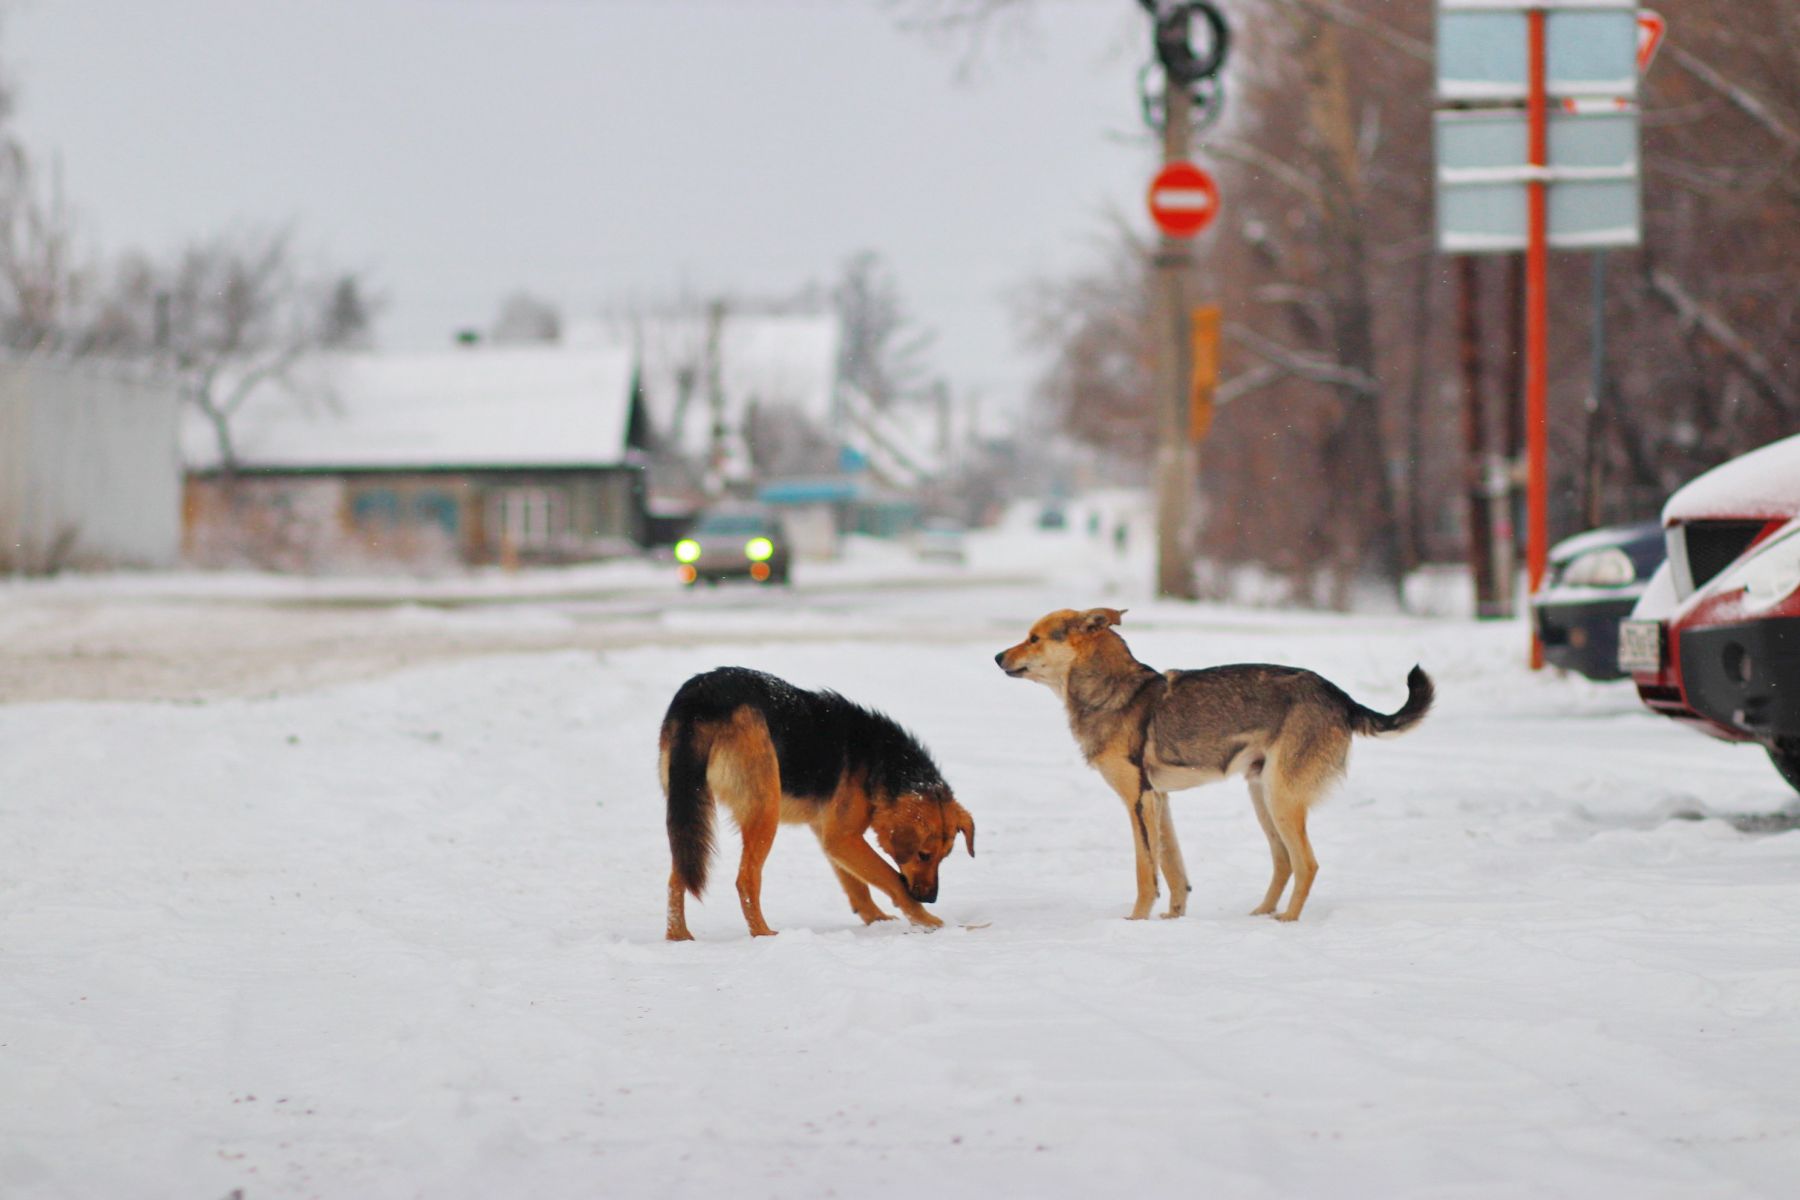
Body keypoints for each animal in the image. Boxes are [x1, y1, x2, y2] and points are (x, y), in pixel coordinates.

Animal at [658, 665, 972, 935]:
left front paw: (876, 919)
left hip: (688, 811)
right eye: (924, 855)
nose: (930, 898)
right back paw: (763, 933)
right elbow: (891, 877)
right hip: (764, 811)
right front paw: (925, 919)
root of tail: (701, 698)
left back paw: (679, 937)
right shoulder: (842, 837)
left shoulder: (831, 836)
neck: (882, 762)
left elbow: (857, 885)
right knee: (746, 880)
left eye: (945, 856)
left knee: (678, 876)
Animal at [1000, 615, 1432, 928]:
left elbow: (1145, 872)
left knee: (1306, 864)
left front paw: (1135, 921)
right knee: (1284, 861)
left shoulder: (1137, 801)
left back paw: (1288, 920)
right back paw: (1261, 912)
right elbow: (1173, 871)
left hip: (1281, 798)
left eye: (1034, 638)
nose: (996, 657)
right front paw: (1173, 918)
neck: (1113, 691)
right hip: (1263, 797)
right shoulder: (1158, 800)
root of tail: (1340, 696)